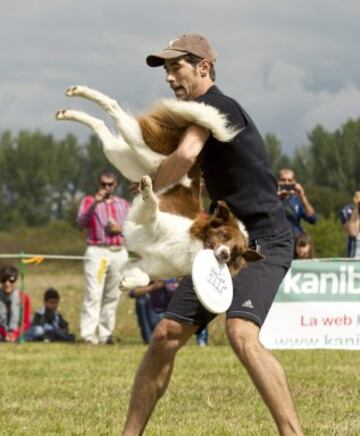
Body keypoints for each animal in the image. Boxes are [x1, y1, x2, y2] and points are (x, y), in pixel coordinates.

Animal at [55, 86, 262, 288]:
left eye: (236, 252)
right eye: (224, 235)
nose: (225, 254)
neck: (193, 244)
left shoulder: (146, 264)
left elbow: (145, 278)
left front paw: (127, 283)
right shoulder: (147, 222)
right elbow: (152, 205)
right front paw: (147, 190)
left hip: (126, 159)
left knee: (101, 127)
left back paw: (67, 112)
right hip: (146, 150)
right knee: (114, 108)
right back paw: (75, 93)